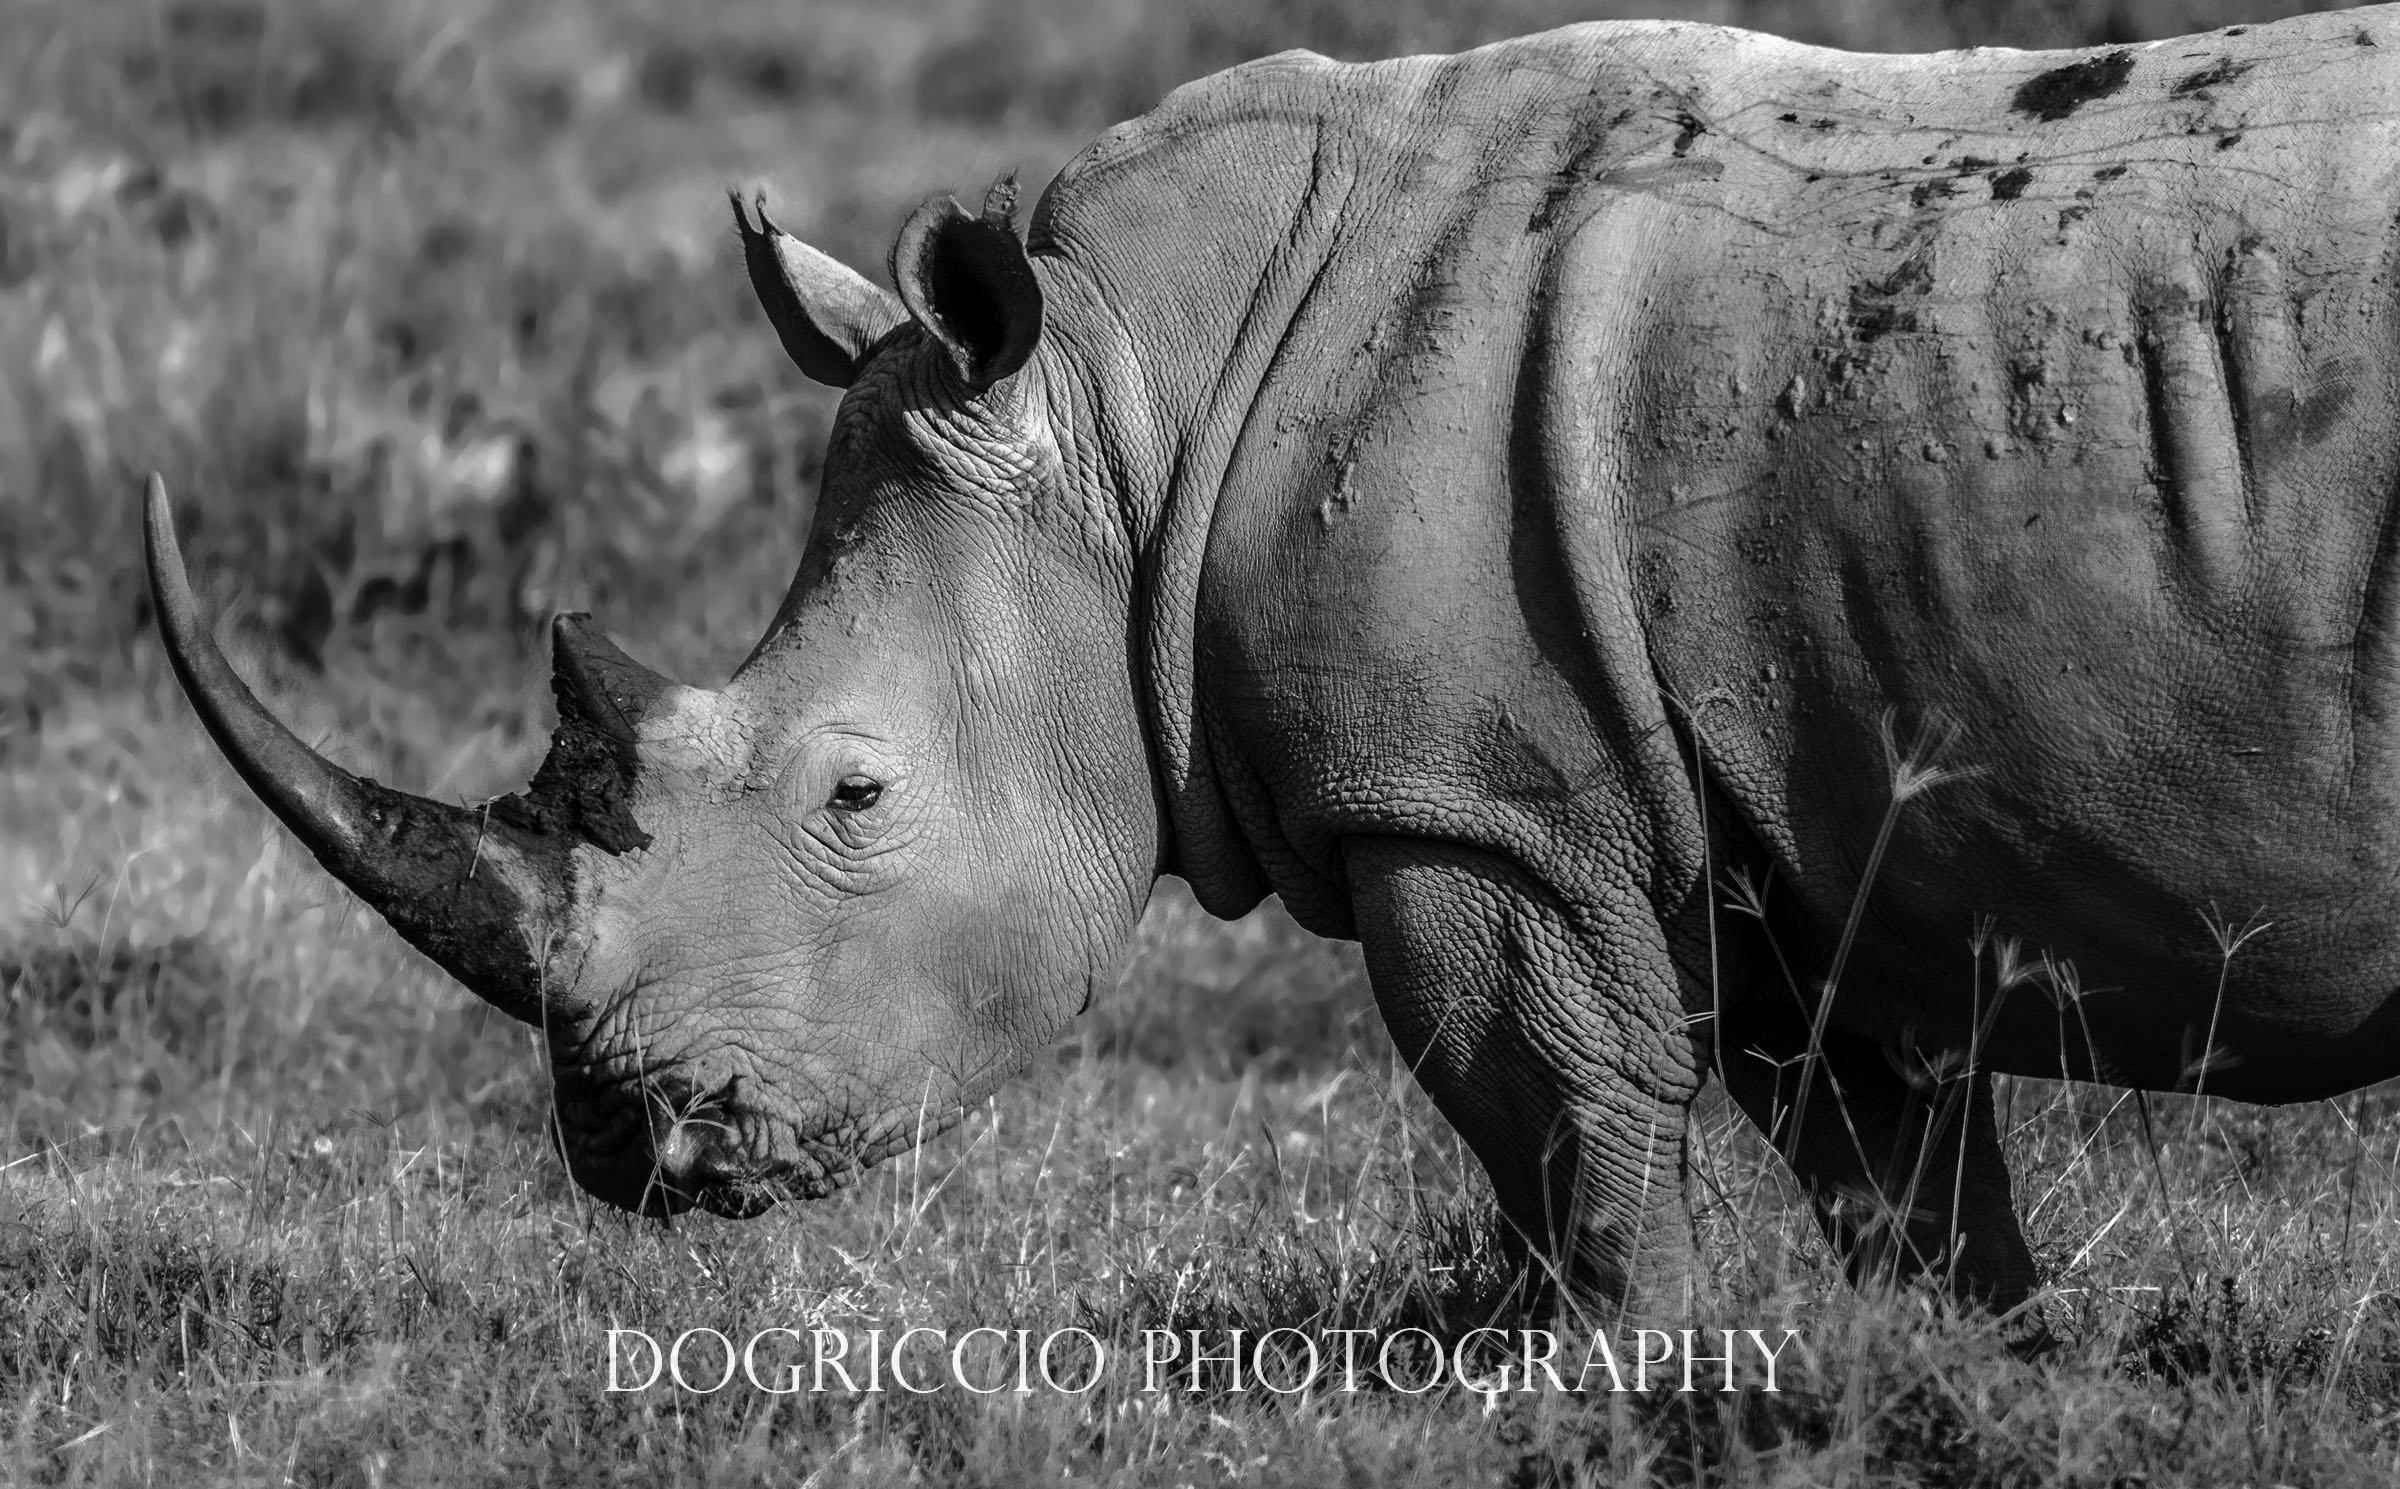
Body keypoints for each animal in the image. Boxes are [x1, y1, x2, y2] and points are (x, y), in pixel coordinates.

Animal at [147, 5, 2400, 1321]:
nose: (628, 1143)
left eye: (853, 796)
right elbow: (1905, 1185)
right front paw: (1964, 1385)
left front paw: (1631, 1376)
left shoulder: (1482, 802)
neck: (1135, 397)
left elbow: (1568, 1126)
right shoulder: (1792, 810)